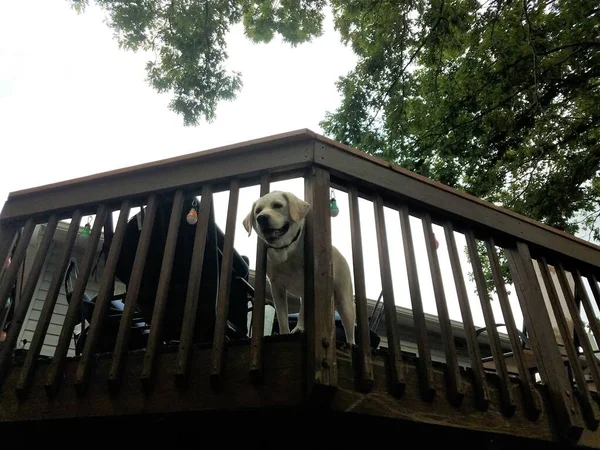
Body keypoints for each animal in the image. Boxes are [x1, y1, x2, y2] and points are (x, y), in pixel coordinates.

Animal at [243, 189, 356, 344]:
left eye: (277, 205)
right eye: (257, 211)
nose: (261, 218)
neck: (286, 250)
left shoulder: (306, 286)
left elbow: (303, 313)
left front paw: (299, 328)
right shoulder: (277, 288)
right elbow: (282, 316)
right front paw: (285, 332)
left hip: (345, 302)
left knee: (350, 329)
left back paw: (350, 344)